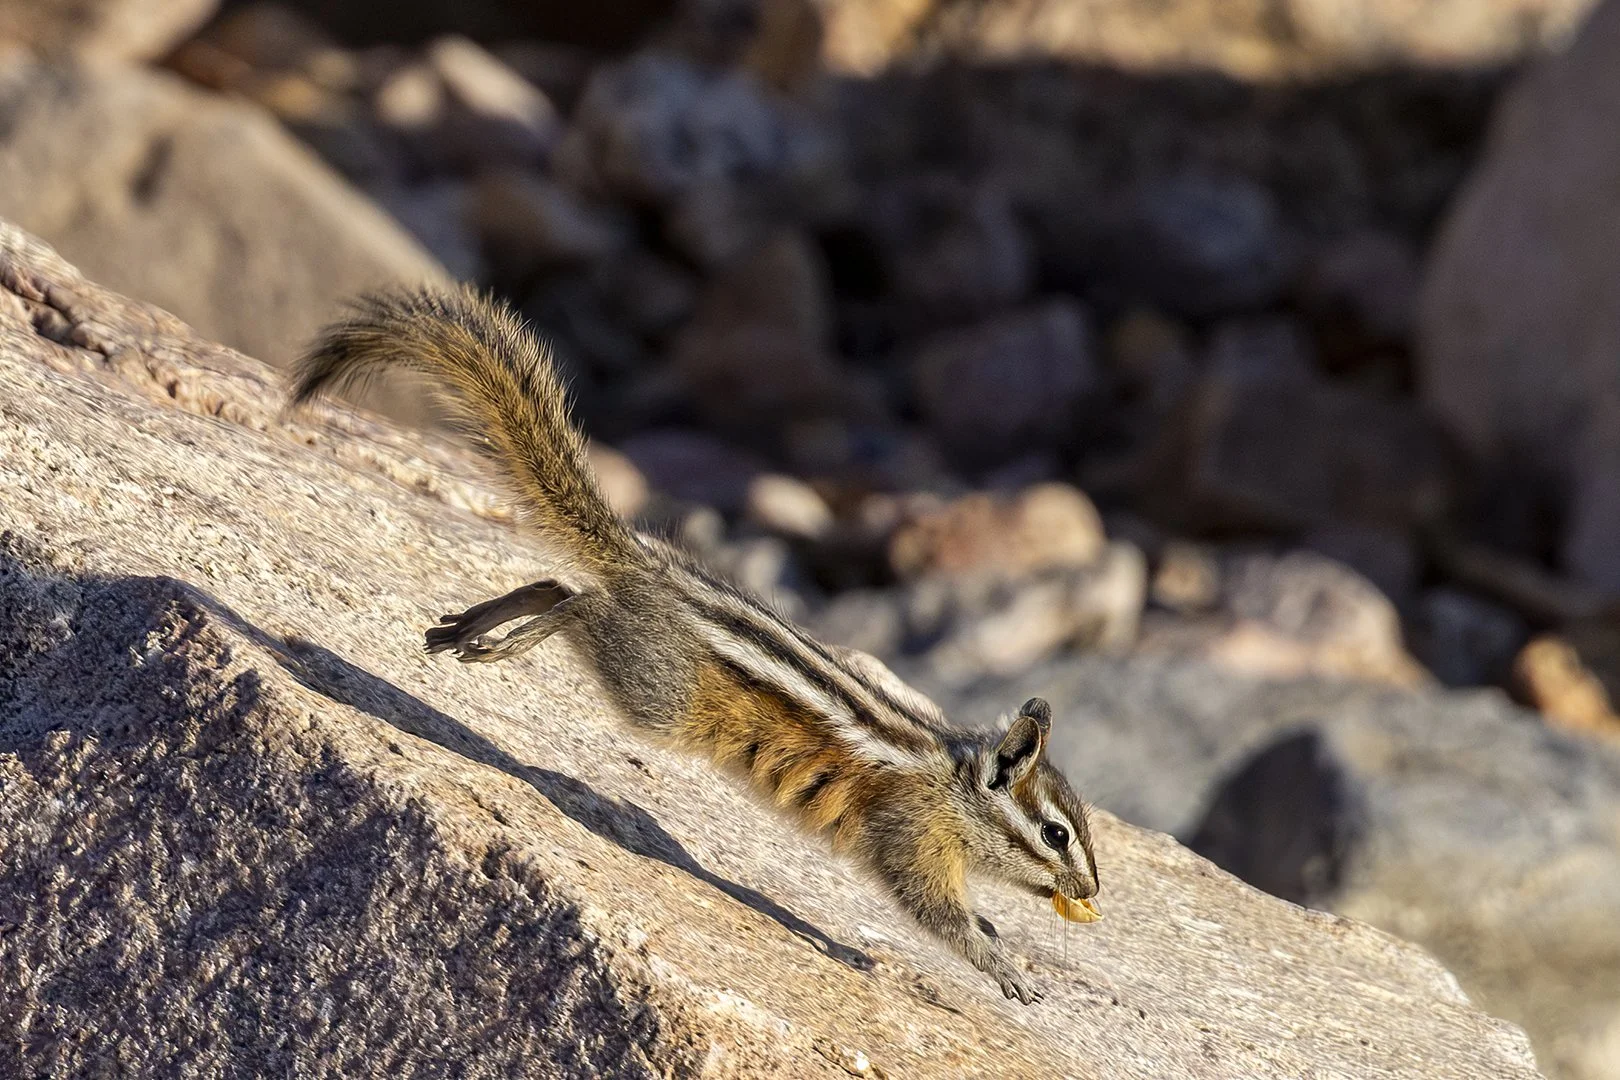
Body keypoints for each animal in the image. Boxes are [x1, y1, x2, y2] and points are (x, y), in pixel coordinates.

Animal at [291, 286, 1101, 1004]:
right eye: (1057, 833)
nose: (1091, 891)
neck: (952, 785)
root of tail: (645, 564)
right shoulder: (911, 837)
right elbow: (937, 916)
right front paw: (1005, 971)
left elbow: (972, 917)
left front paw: (998, 941)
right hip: (656, 695)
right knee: (579, 603)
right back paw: (507, 641)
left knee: (554, 582)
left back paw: (468, 627)